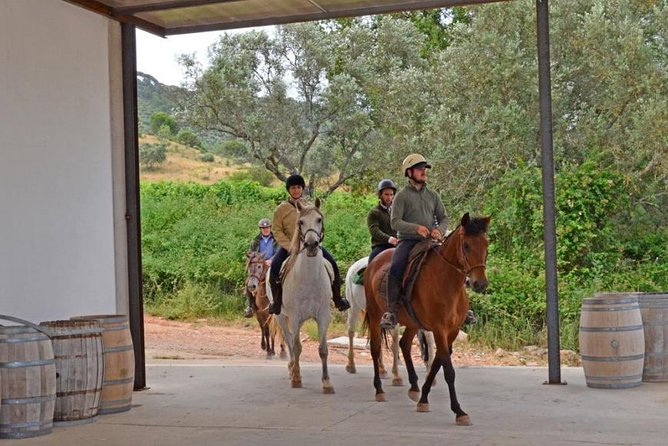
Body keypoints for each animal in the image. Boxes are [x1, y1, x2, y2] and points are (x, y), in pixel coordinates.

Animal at [272, 200, 334, 392]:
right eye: (301, 222)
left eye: (319, 219)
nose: (312, 244)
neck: (309, 279)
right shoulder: (294, 316)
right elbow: (297, 346)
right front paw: (296, 378)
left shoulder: (323, 316)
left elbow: (323, 349)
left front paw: (326, 382)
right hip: (281, 317)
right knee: (289, 340)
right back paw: (292, 367)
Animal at [362, 213, 488, 426]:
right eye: (466, 246)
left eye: (486, 244)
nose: (480, 284)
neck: (448, 282)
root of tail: (374, 261)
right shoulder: (439, 329)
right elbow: (448, 371)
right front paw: (459, 411)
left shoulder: (451, 331)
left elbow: (437, 364)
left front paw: (423, 399)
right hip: (375, 314)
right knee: (376, 349)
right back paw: (379, 390)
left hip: (413, 322)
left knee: (404, 344)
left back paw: (414, 387)